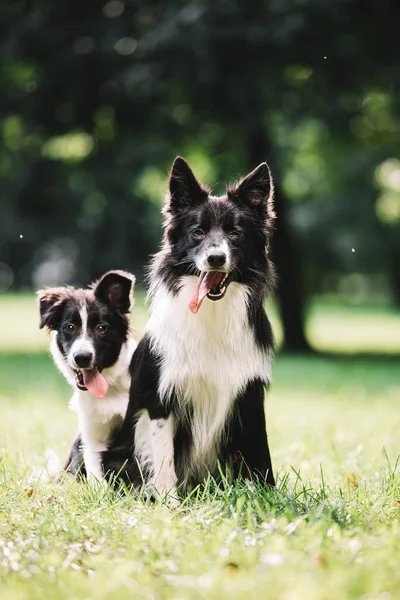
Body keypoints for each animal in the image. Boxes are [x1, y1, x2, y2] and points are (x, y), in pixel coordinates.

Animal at [38, 270, 137, 482]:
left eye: (101, 328)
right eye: (69, 327)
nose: (82, 357)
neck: (111, 386)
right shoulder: (92, 439)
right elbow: (97, 479)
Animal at [123, 155, 276, 496]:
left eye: (235, 233)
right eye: (198, 232)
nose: (215, 258)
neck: (212, 312)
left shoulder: (250, 395)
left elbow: (262, 456)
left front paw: (269, 496)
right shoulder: (160, 399)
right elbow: (164, 460)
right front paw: (169, 502)